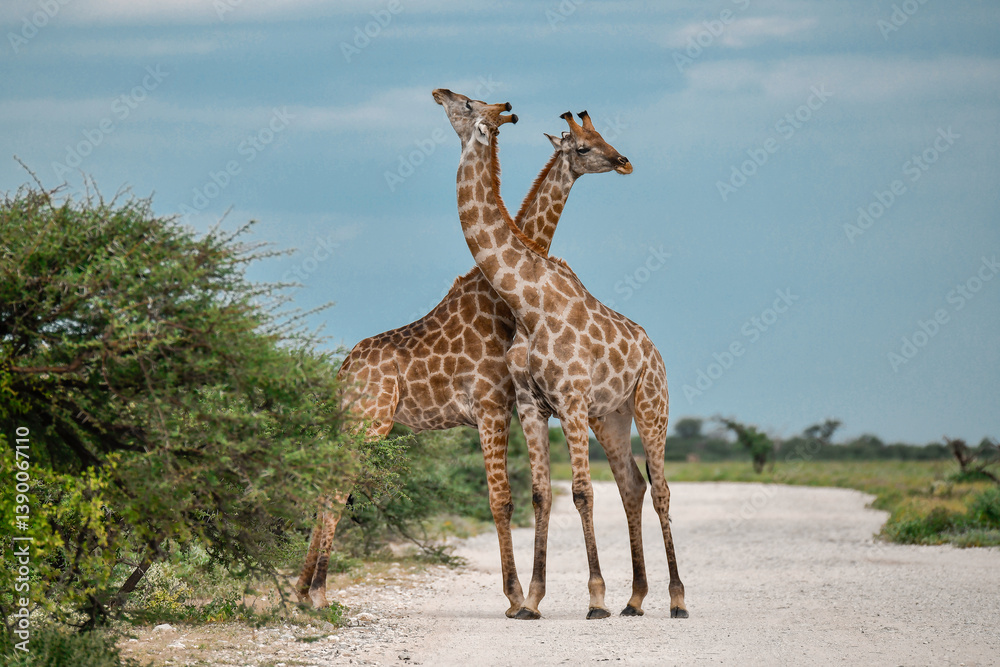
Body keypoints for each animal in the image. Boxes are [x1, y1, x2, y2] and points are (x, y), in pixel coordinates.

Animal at [295, 92, 635, 615]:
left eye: (599, 139)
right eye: (582, 146)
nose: (622, 161)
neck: (501, 296)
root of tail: (342, 371)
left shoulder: (508, 407)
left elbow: (520, 495)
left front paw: (523, 596)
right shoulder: (492, 405)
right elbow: (501, 500)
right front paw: (515, 597)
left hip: (356, 421)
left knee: (329, 484)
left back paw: (301, 591)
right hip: (367, 421)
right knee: (335, 486)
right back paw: (316, 592)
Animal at [435, 88, 688, 620]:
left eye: (465, 103)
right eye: (585, 145)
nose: (624, 161)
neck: (526, 301)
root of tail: (654, 352)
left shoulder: (569, 399)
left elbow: (581, 491)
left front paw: (594, 597)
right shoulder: (532, 405)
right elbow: (540, 494)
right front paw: (530, 600)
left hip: (652, 405)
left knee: (660, 489)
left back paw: (677, 598)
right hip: (611, 416)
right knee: (632, 486)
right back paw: (635, 598)